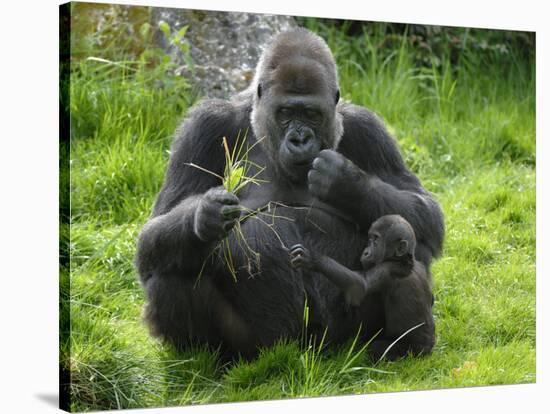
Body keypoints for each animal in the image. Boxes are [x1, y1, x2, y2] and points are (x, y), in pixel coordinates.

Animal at [292, 215, 438, 360]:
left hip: (412, 351)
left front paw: (314, 260)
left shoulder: (386, 270)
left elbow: (359, 286)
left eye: (376, 240)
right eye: (369, 240)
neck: (402, 259)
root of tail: (429, 350)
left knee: (377, 348)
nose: (366, 251)